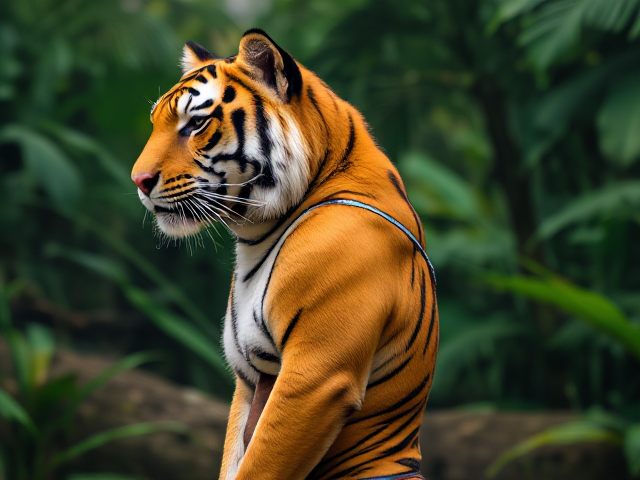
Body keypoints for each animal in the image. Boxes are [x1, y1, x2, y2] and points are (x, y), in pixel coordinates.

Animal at [131, 29, 438, 480]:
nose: (138, 180)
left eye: (197, 123)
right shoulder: (246, 381)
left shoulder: (315, 379)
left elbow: (262, 462)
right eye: (156, 124)